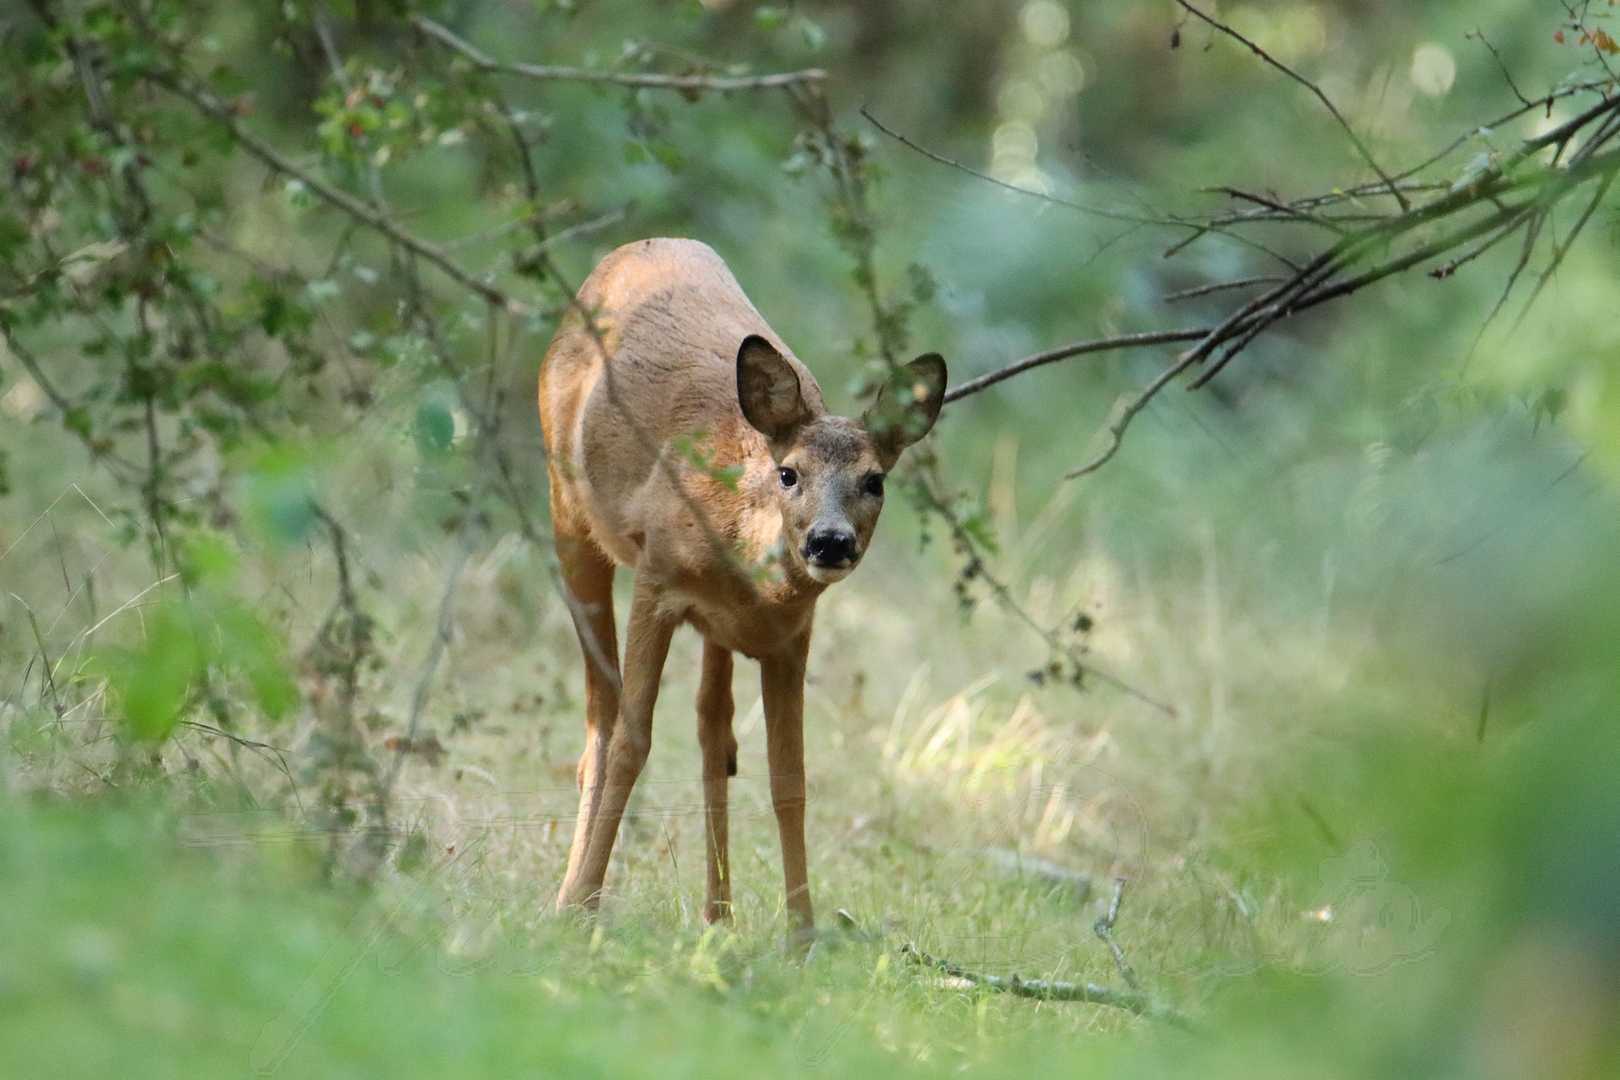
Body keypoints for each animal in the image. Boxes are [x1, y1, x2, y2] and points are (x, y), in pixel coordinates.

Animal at [537, 236, 946, 939]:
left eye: (875, 481)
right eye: (789, 473)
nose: (830, 542)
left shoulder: (788, 639)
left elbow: (789, 774)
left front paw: (802, 935)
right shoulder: (657, 583)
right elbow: (634, 742)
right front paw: (584, 903)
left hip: (716, 634)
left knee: (713, 732)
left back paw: (718, 918)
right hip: (569, 513)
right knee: (601, 718)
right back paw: (571, 897)